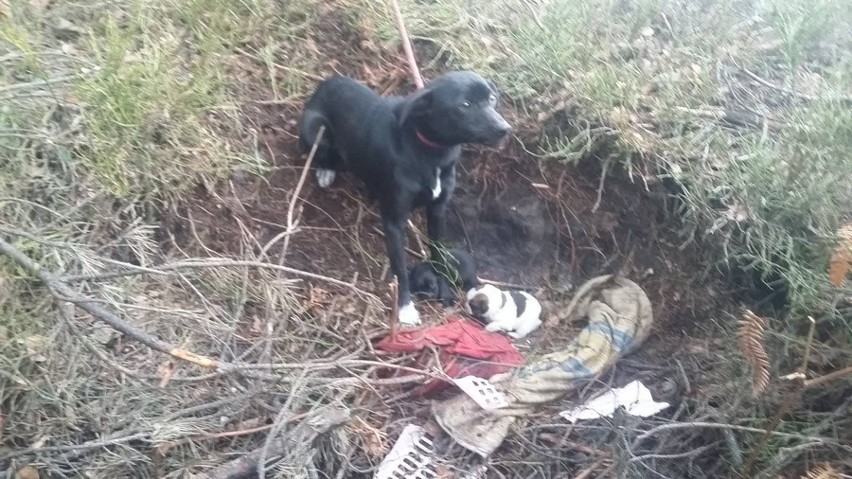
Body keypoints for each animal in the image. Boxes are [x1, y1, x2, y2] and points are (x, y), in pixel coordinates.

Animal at [300, 71, 510, 326]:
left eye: (491, 99)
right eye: (465, 105)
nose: (505, 128)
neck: (432, 154)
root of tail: (326, 83)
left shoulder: (437, 211)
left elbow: (438, 255)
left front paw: (444, 289)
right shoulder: (394, 222)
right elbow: (400, 268)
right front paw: (405, 307)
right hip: (313, 128)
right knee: (323, 151)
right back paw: (326, 170)